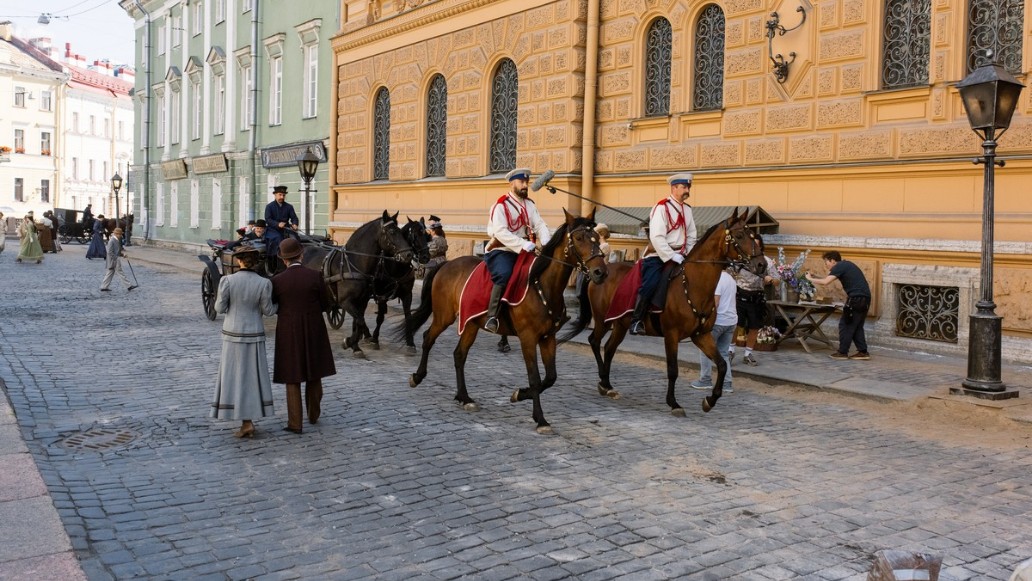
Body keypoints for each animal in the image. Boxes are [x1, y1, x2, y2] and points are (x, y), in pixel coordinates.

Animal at [301, 211, 412, 359]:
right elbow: (360, 321)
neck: (354, 264)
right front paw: (350, 342)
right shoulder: (345, 302)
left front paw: (355, 346)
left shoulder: (361, 302)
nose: (409, 254)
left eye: (401, 231)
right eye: (392, 232)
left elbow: (358, 323)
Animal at [365, 218, 429, 354]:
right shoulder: (381, 295)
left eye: (426, 235)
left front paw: (410, 343)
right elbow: (380, 317)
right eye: (415, 235)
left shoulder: (407, 294)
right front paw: (374, 339)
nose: (425, 257)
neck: (396, 267)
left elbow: (408, 317)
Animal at [404, 209, 610, 431]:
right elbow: (535, 378)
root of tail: (447, 263)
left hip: (471, 324)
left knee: (459, 355)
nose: (600, 272)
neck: (541, 285)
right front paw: (540, 418)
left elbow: (550, 377)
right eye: (579, 238)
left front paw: (520, 394)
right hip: (444, 317)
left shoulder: (548, 338)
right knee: (428, 338)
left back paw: (464, 397)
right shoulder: (528, 339)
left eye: (596, 237)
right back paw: (417, 376)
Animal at [557, 209, 767, 418]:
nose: (761, 264)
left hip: (620, 324)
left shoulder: (701, 335)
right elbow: (673, 369)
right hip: (603, 320)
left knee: (609, 348)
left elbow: (722, 365)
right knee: (594, 341)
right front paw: (673, 403)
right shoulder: (671, 335)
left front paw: (710, 400)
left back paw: (607, 385)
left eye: (753, 235)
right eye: (739, 235)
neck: (692, 285)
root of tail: (600, 271)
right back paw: (603, 382)